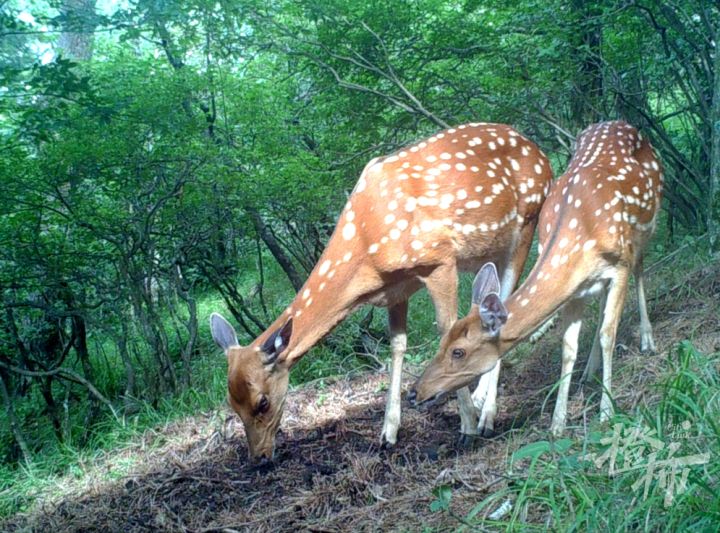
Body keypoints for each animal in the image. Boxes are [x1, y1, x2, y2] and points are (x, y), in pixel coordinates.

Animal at [211, 121, 556, 462]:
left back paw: (487, 415)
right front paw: (388, 433)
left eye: (262, 402)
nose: (258, 457)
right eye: (231, 404)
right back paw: (483, 393)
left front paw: (467, 426)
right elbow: (397, 346)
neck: (368, 246)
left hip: (526, 222)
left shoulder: (439, 260)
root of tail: (541, 154)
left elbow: (448, 330)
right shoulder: (397, 289)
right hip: (489, 248)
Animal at [410, 121, 664, 436]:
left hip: (645, 229)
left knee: (640, 268)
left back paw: (647, 340)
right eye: (441, 343)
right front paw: (557, 423)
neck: (580, 236)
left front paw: (607, 412)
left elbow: (608, 333)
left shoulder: (618, 266)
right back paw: (589, 371)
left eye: (458, 352)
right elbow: (568, 347)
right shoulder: (576, 290)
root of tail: (618, 122)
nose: (414, 392)